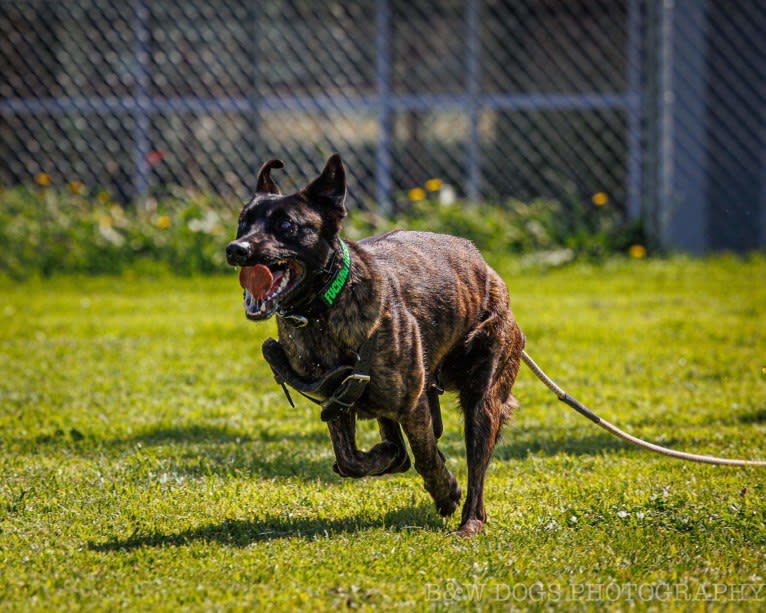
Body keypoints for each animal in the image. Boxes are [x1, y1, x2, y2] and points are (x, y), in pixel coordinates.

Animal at [225, 154, 524, 536]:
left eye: (286, 225)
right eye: (243, 222)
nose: (237, 249)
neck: (324, 310)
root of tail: (486, 268)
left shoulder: (413, 405)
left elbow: (426, 458)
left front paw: (445, 491)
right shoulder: (338, 400)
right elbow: (349, 459)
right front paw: (384, 458)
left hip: (483, 398)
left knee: (477, 467)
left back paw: (470, 521)